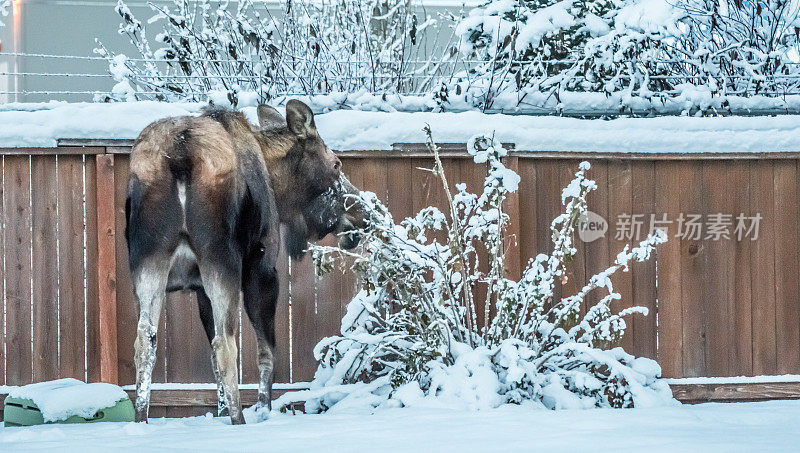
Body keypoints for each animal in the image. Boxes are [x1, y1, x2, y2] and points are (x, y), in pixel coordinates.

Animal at [125, 100, 366, 424]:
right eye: (336, 164)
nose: (362, 216)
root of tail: (180, 153)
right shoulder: (262, 270)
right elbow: (267, 352)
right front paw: (262, 410)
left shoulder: (199, 288)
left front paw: (221, 412)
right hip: (222, 259)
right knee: (226, 345)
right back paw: (239, 421)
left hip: (149, 259)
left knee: (145, 341)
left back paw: (141, 420)